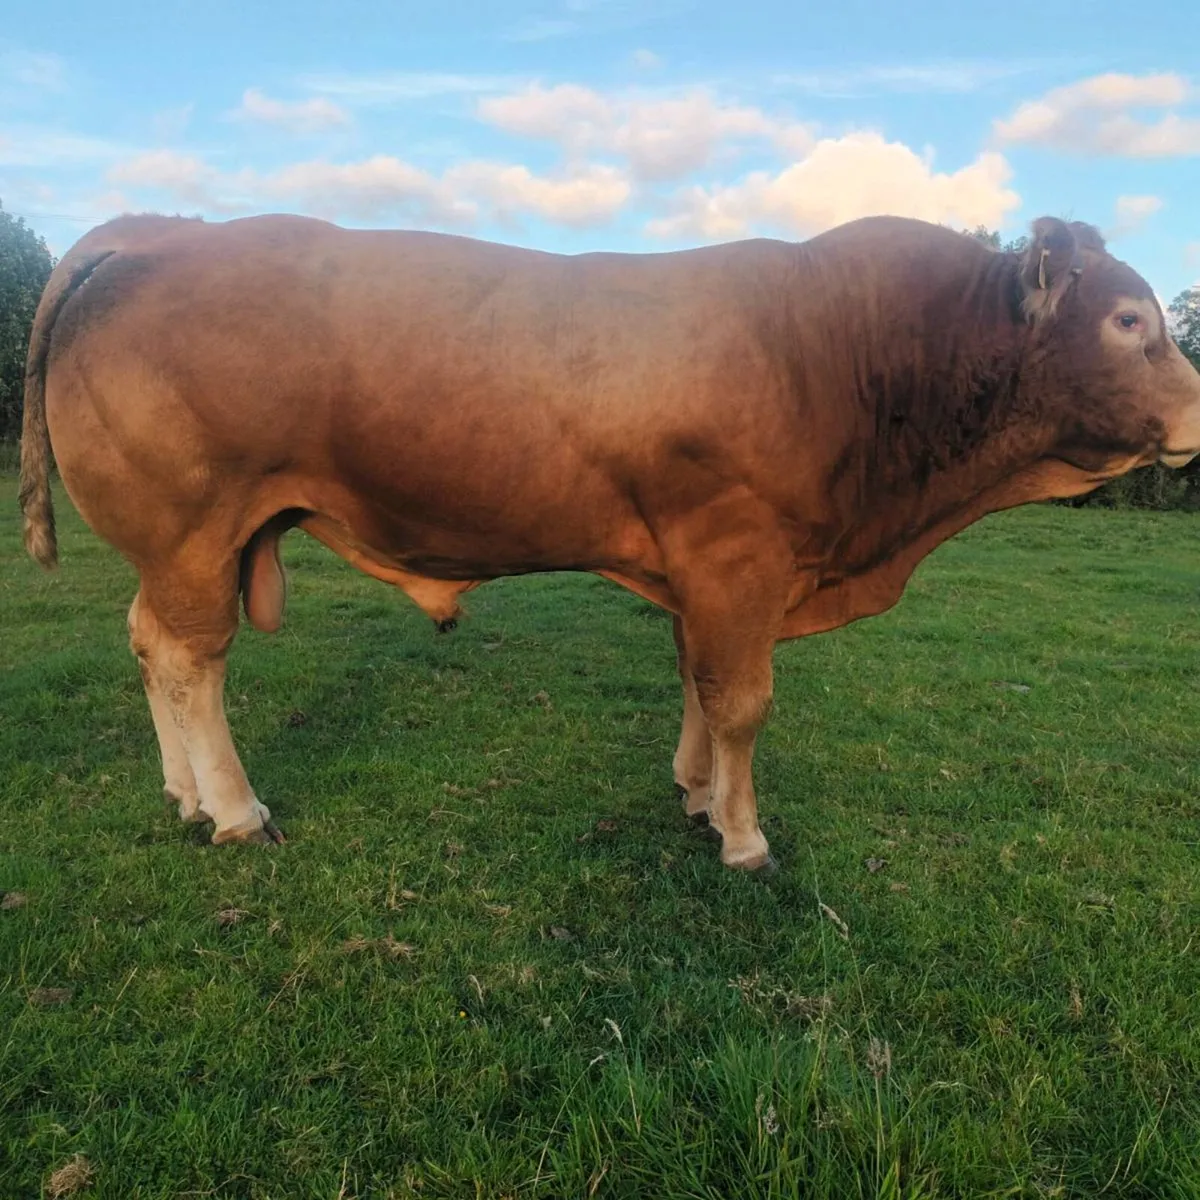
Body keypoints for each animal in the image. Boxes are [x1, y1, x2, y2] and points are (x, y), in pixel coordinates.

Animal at [18, 211, 1200, 874]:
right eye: (1130, 322)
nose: (1198, 409)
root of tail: (165, 231)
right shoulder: (737, 554)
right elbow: (743, 699)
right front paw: (744, 838)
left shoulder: (703, 570)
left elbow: (697, 682)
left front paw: (694, 795)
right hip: (192, 528)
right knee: (192, 661)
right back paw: (232, 810)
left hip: (185, 546)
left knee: (149, 644)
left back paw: (181, 794)